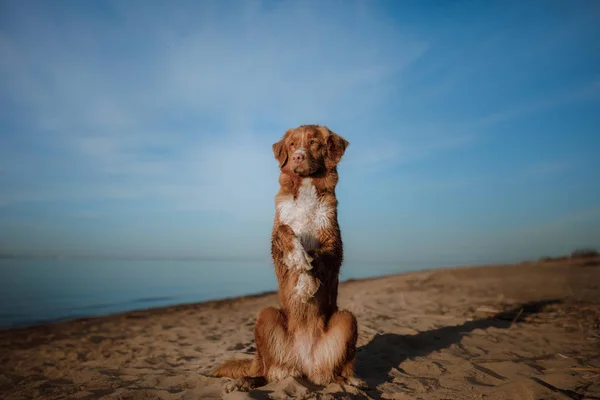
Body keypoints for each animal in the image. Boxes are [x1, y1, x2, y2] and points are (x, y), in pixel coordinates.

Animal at [211, 124, 364, 390]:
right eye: (292, 144)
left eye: (313, 142)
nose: (298, 157)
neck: (305, 188)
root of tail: (303, 363)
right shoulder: (276, 238)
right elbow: (285, 231)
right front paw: (297, 258)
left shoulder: (334, 246)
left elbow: (316, 256)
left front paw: (305, 283)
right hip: (266, 315)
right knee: (265, 372)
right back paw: (245, 381)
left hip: (346, 319)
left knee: (337, 370)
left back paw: (352, 380)